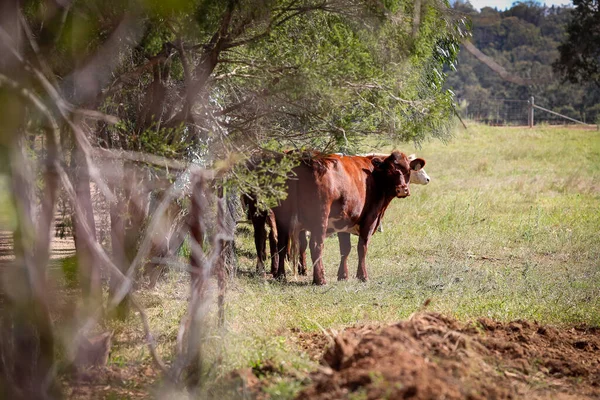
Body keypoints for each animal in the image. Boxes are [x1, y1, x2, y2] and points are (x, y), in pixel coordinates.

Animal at [270, 150, 424, 284]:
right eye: (390, 171)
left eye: (408, 171)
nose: (402, 189)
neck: (374, 176)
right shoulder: (370, 219)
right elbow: (362, 247)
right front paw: (362, 276)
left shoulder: (343, 222)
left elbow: (345, 249)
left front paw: (343, 275)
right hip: (320, 218)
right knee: (316, 245)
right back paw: (320, 280)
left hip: (282, 217)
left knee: (282, 244)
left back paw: (280, 276)